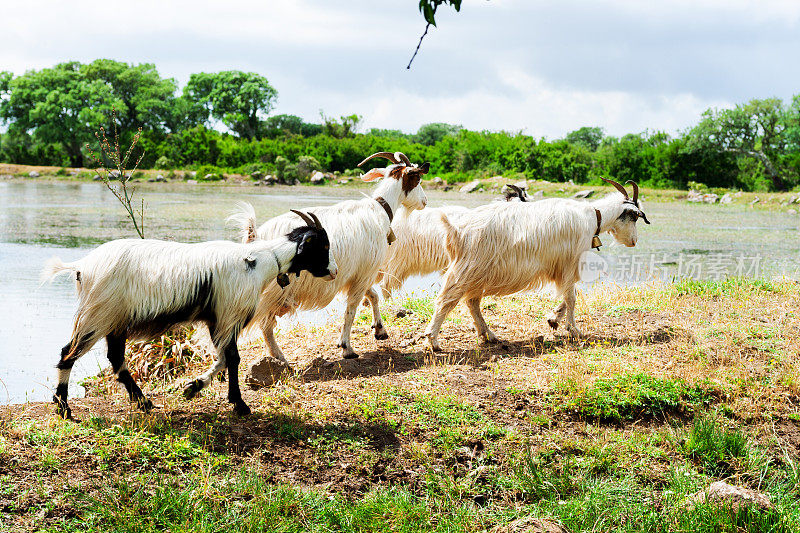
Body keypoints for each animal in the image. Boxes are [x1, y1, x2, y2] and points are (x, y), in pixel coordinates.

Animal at [234, 152, 428, 364]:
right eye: (417, 179)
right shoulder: (365, 273)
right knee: (263, 324)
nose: (425, 201)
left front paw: (380, 330)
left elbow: (373, 296)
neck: (379, 210)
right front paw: (347, 347)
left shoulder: (358, 273)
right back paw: (280, 357)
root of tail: (254, 235)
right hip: (272, 293)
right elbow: (351, 309)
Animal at [422, 178, 648, 350]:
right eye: (635, 217)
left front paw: (554, 319)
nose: (634, 241)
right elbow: (572, 296)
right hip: (467, 269)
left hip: (477, 273)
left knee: (472, 302)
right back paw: (433, 340)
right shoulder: (570, 262)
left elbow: (570, 294)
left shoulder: (559, 267)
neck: (593, 216)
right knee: (446, 301)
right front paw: (573, 329)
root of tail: (456, 230)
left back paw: (488, 335)